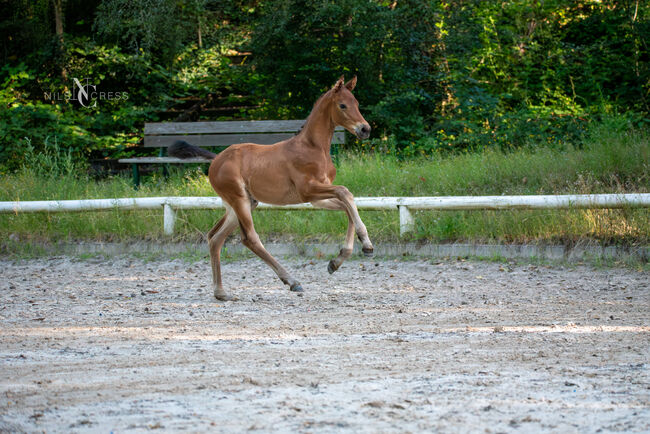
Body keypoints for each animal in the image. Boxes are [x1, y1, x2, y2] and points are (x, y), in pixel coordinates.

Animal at [172, 75, 372, 298]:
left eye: (357, 103)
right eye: (342, 105)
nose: (365, 129)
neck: (313, 147)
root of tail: (216, 160)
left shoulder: (316, 199)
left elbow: (347, 206)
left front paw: (337, 261)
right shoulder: (308, 190)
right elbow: (346, 193)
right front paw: (366, 244)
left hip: (242, 204)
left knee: (215, 237)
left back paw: (220, 292)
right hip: (239, 200)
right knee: (249, 238)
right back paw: (292, 281)